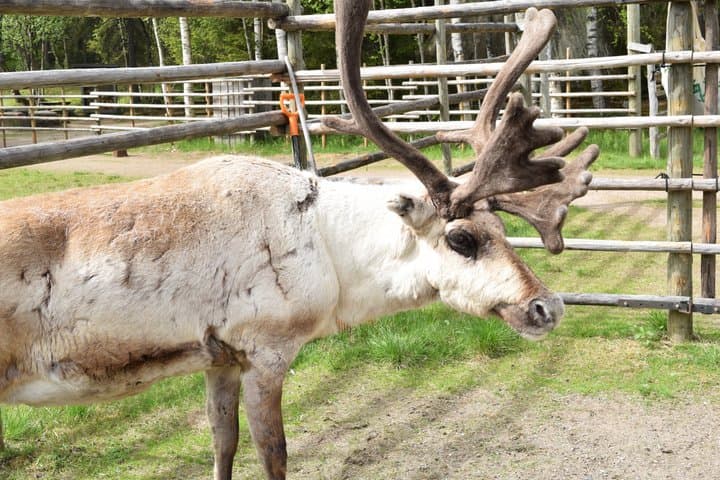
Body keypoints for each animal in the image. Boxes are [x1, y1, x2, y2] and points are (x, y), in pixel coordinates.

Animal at [0, 2, 597, 479]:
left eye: (502, 229)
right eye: (463, 239)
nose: (548, 307)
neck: (333, 254)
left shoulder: (218, 357)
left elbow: (221, 446)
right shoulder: (267, 348)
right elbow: (274, 454)